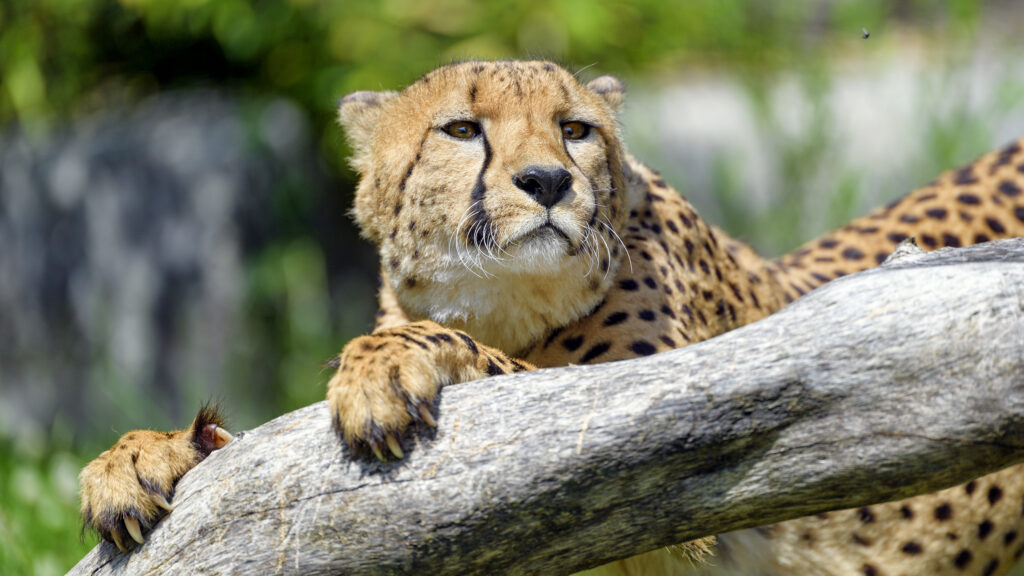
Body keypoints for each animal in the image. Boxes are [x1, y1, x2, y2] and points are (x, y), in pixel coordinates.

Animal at [79, 59, 1024, 575]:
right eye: (462, 129)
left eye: (576, 129)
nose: (546, 182)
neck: (501, 299)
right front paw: (139, 455)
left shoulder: (650, 441)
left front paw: (382, 365)